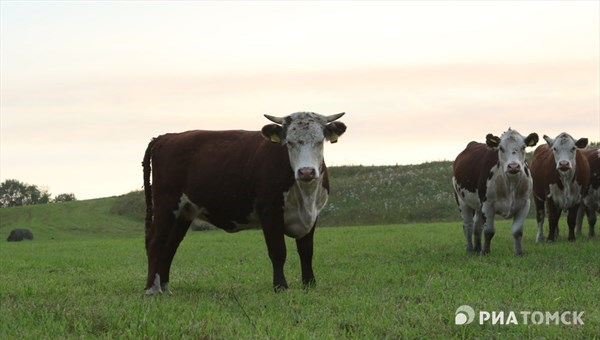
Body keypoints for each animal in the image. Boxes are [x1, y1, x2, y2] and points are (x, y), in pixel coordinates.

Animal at [142, 110, 346, 294]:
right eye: (289, 142)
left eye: (319, 141)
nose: (306, 172)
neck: (305, 195)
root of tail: (166, 137)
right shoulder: (270, 211)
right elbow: (278, 251)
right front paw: (281, 286)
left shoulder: (313, 214)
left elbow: (306, 251)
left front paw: (309, 284)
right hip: (166, 205)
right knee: (155, 242)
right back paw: (151, 289)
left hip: (183, 213)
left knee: (169, 246)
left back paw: (165, 288)